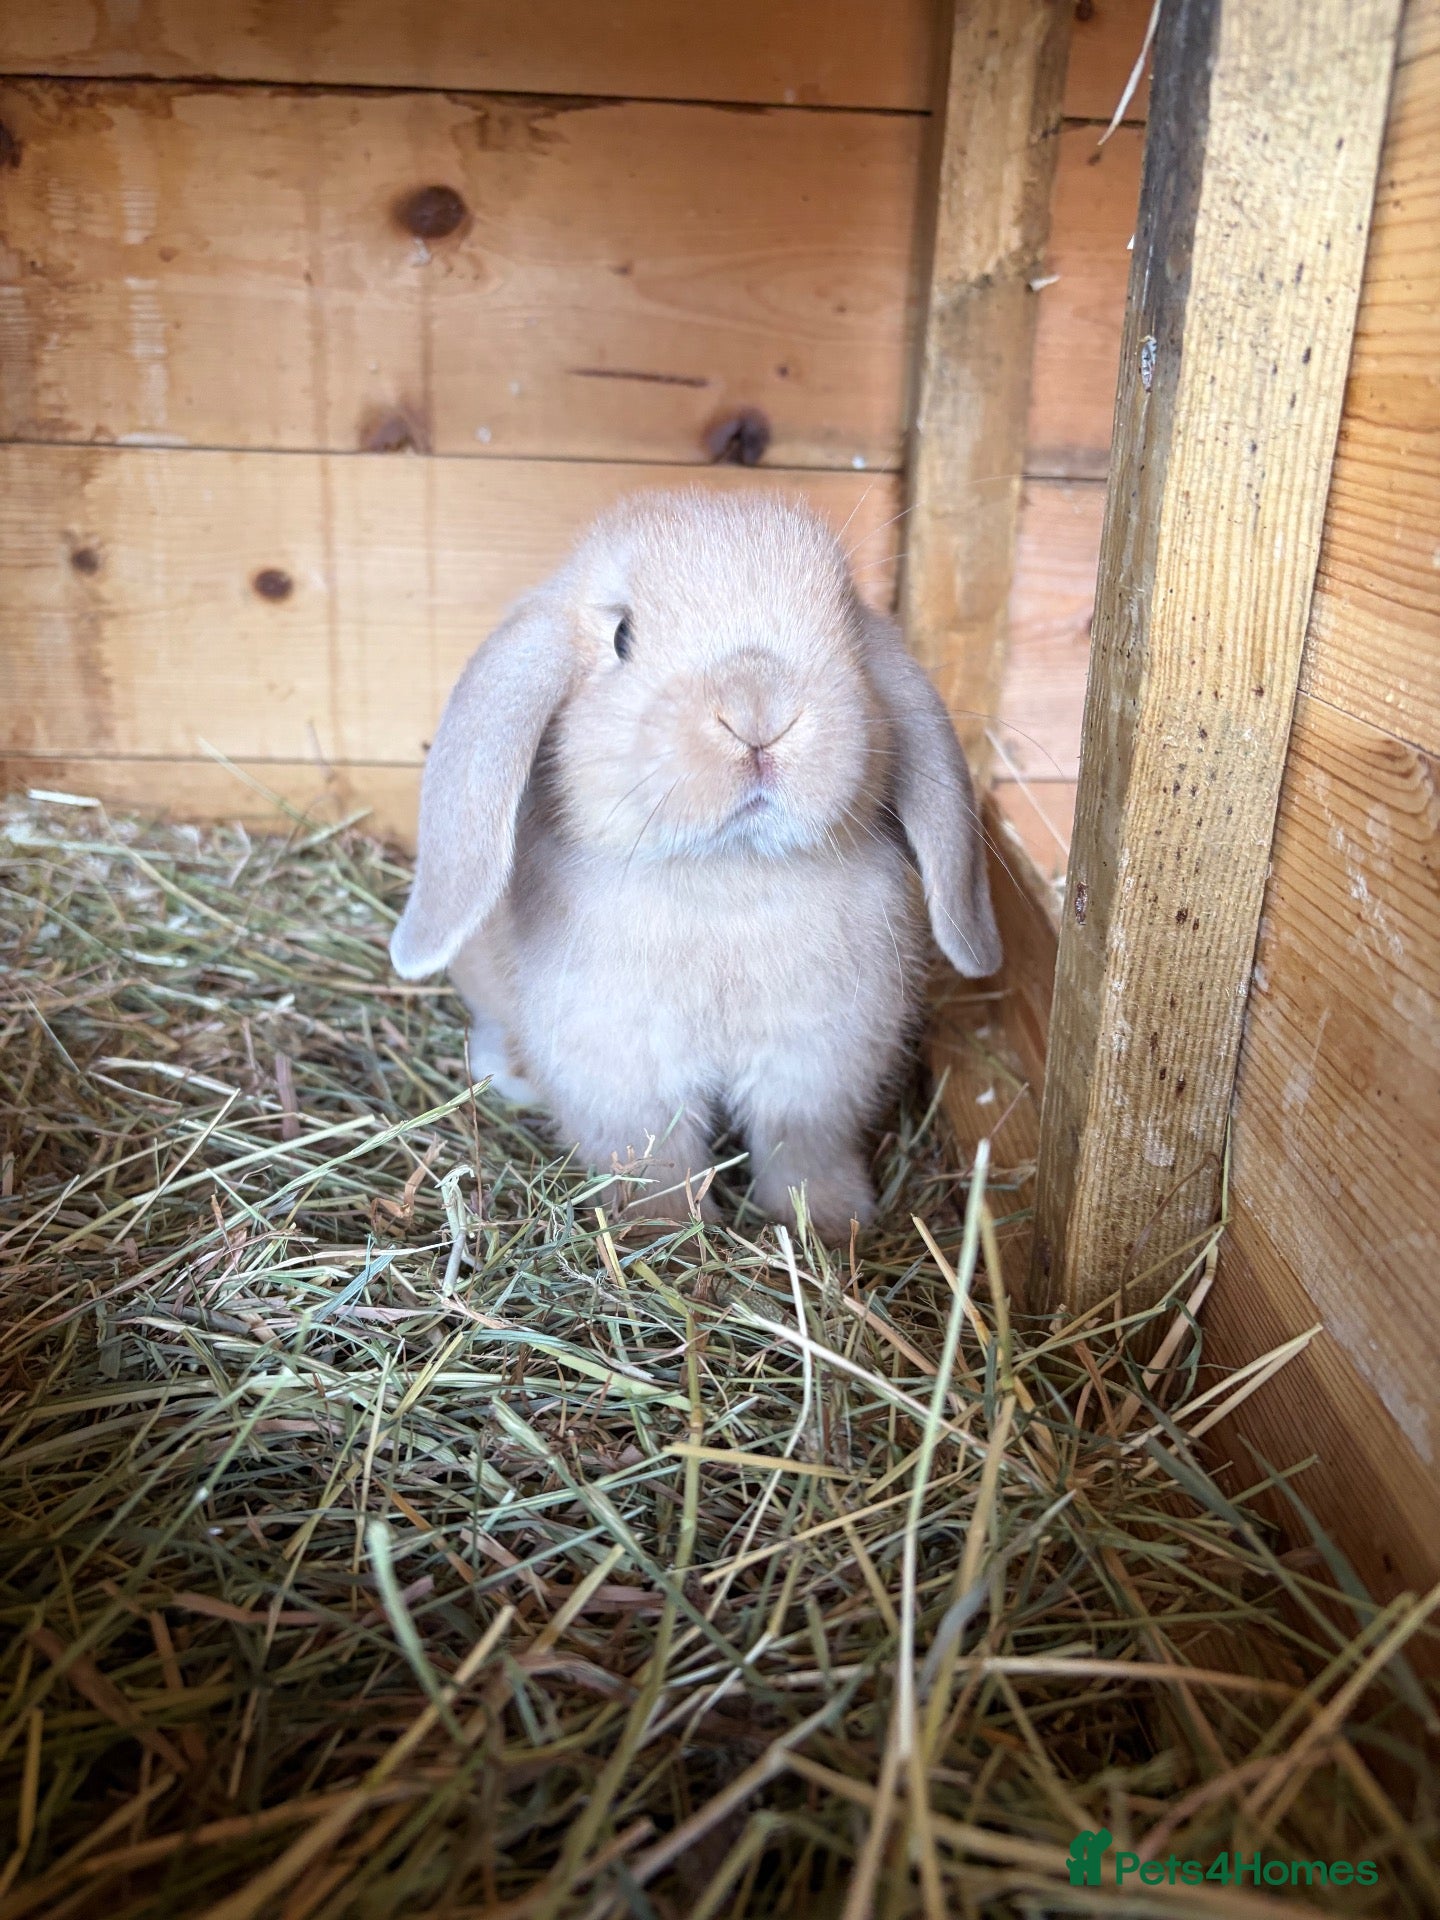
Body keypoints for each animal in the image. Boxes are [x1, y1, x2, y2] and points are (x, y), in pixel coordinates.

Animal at [390, 489, 1001, 1241]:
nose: (758, 708)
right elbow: (655, 1161)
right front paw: (665, 1235)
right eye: (621, 637)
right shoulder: (625, 1074)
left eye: (849, 634)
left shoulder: (818, 1064)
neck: (726, 879)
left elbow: (802, 1148)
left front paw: (833, 1227)